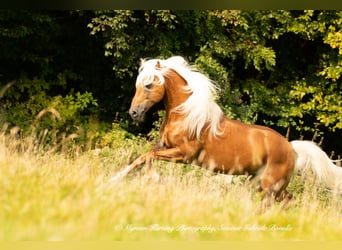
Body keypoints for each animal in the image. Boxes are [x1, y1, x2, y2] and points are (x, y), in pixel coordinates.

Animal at [110, 56, 342, 201]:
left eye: (149, 85)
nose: (134, 113)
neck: (187, 114)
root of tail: (291, 148)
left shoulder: (183, 154)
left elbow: (148, 157)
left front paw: (149, 178)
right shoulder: (165, 147)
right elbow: (143, 157)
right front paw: (117, 179)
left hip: (270, 185)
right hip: (259, 182)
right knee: (285, 200)